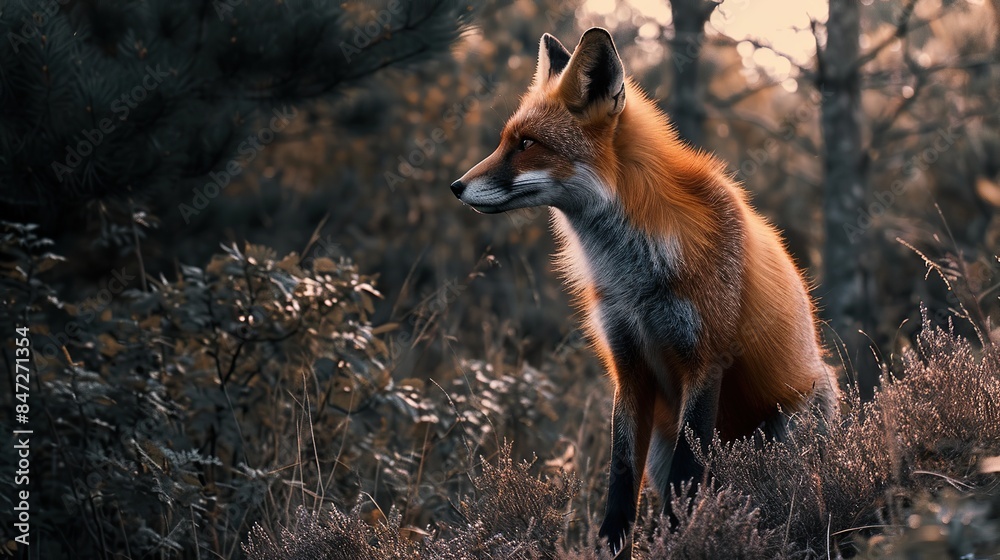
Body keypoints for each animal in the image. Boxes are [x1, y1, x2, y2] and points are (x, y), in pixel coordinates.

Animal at [450, 28, 840, 556]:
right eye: (504, 140)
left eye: (527, 144)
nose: (455, 186)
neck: (634, 275)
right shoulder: (627, 363)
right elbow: (619, 481)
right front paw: (613, 547)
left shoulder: (706, 358)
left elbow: (686, 478)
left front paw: (683, 541)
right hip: (660, 439)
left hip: (789, 434)